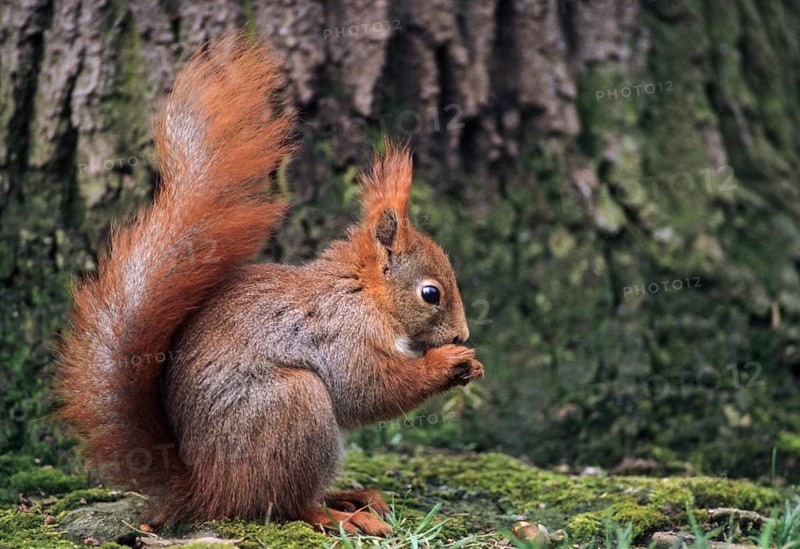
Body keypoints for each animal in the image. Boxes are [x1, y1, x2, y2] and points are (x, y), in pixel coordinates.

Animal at [56, 33, 484, 536]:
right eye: (430, 293)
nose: (462, 334)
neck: (363, 294)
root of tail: (208, 487)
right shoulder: (343, 335)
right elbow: (370, 390)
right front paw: (450, 362)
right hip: (293, 407)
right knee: (288, 503)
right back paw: (343, 515)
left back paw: (352, 496)